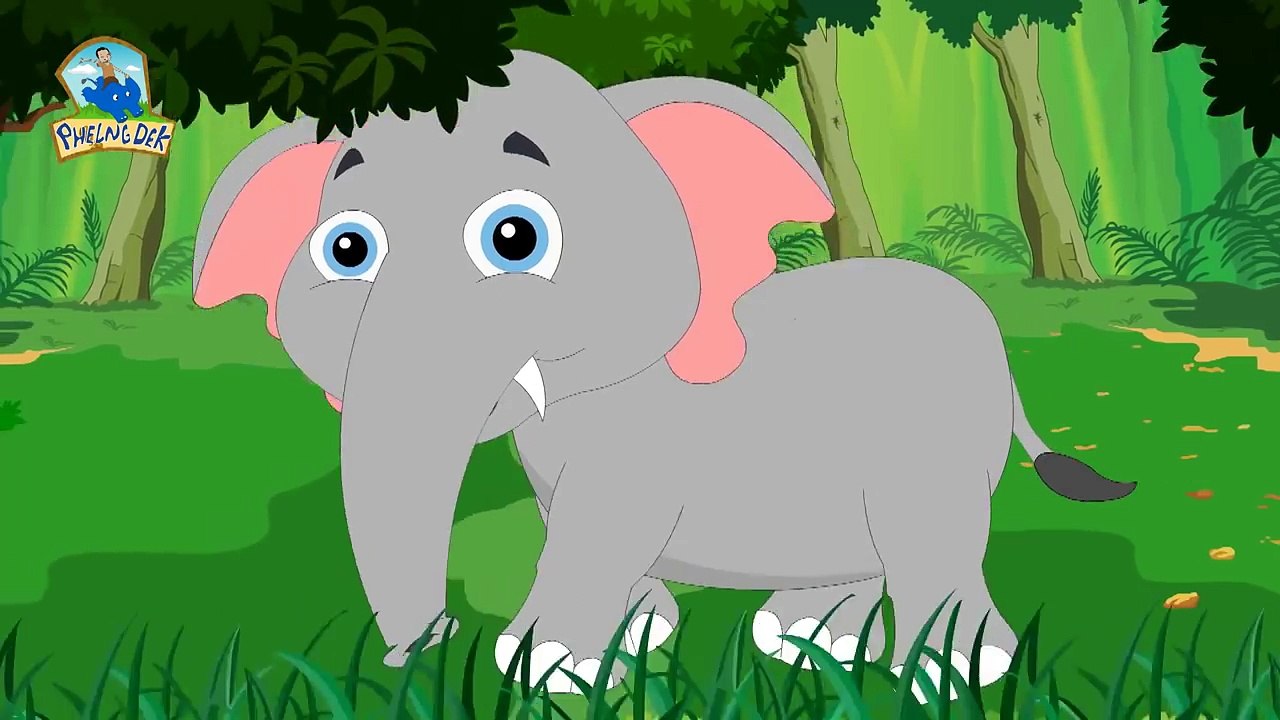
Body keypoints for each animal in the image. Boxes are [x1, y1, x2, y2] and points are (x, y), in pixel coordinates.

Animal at [192, 49, 1137, 701]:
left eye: (515, 238)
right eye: (346, 250)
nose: (419, 646)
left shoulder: (641, 443)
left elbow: (600, 527)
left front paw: (543, 664)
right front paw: (631, 638)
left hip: (935, 441)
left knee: (931, 536)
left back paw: (946, 672)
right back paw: (811, 640)